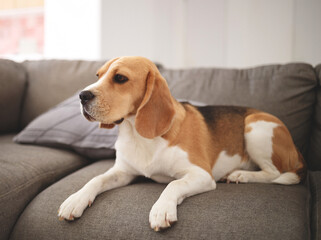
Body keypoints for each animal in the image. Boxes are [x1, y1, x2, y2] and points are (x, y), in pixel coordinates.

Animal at [57, 55, 304, 231]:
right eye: (98, 75)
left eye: (120, 78)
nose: (82, 95)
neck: (138, 135)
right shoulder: (122, 172)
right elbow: (96, 179)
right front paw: (75, 200)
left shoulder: (201, 174)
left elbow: (173, 184)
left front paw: (162, 210)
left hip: (255, 127)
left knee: (274, 172)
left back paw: (241, 175)